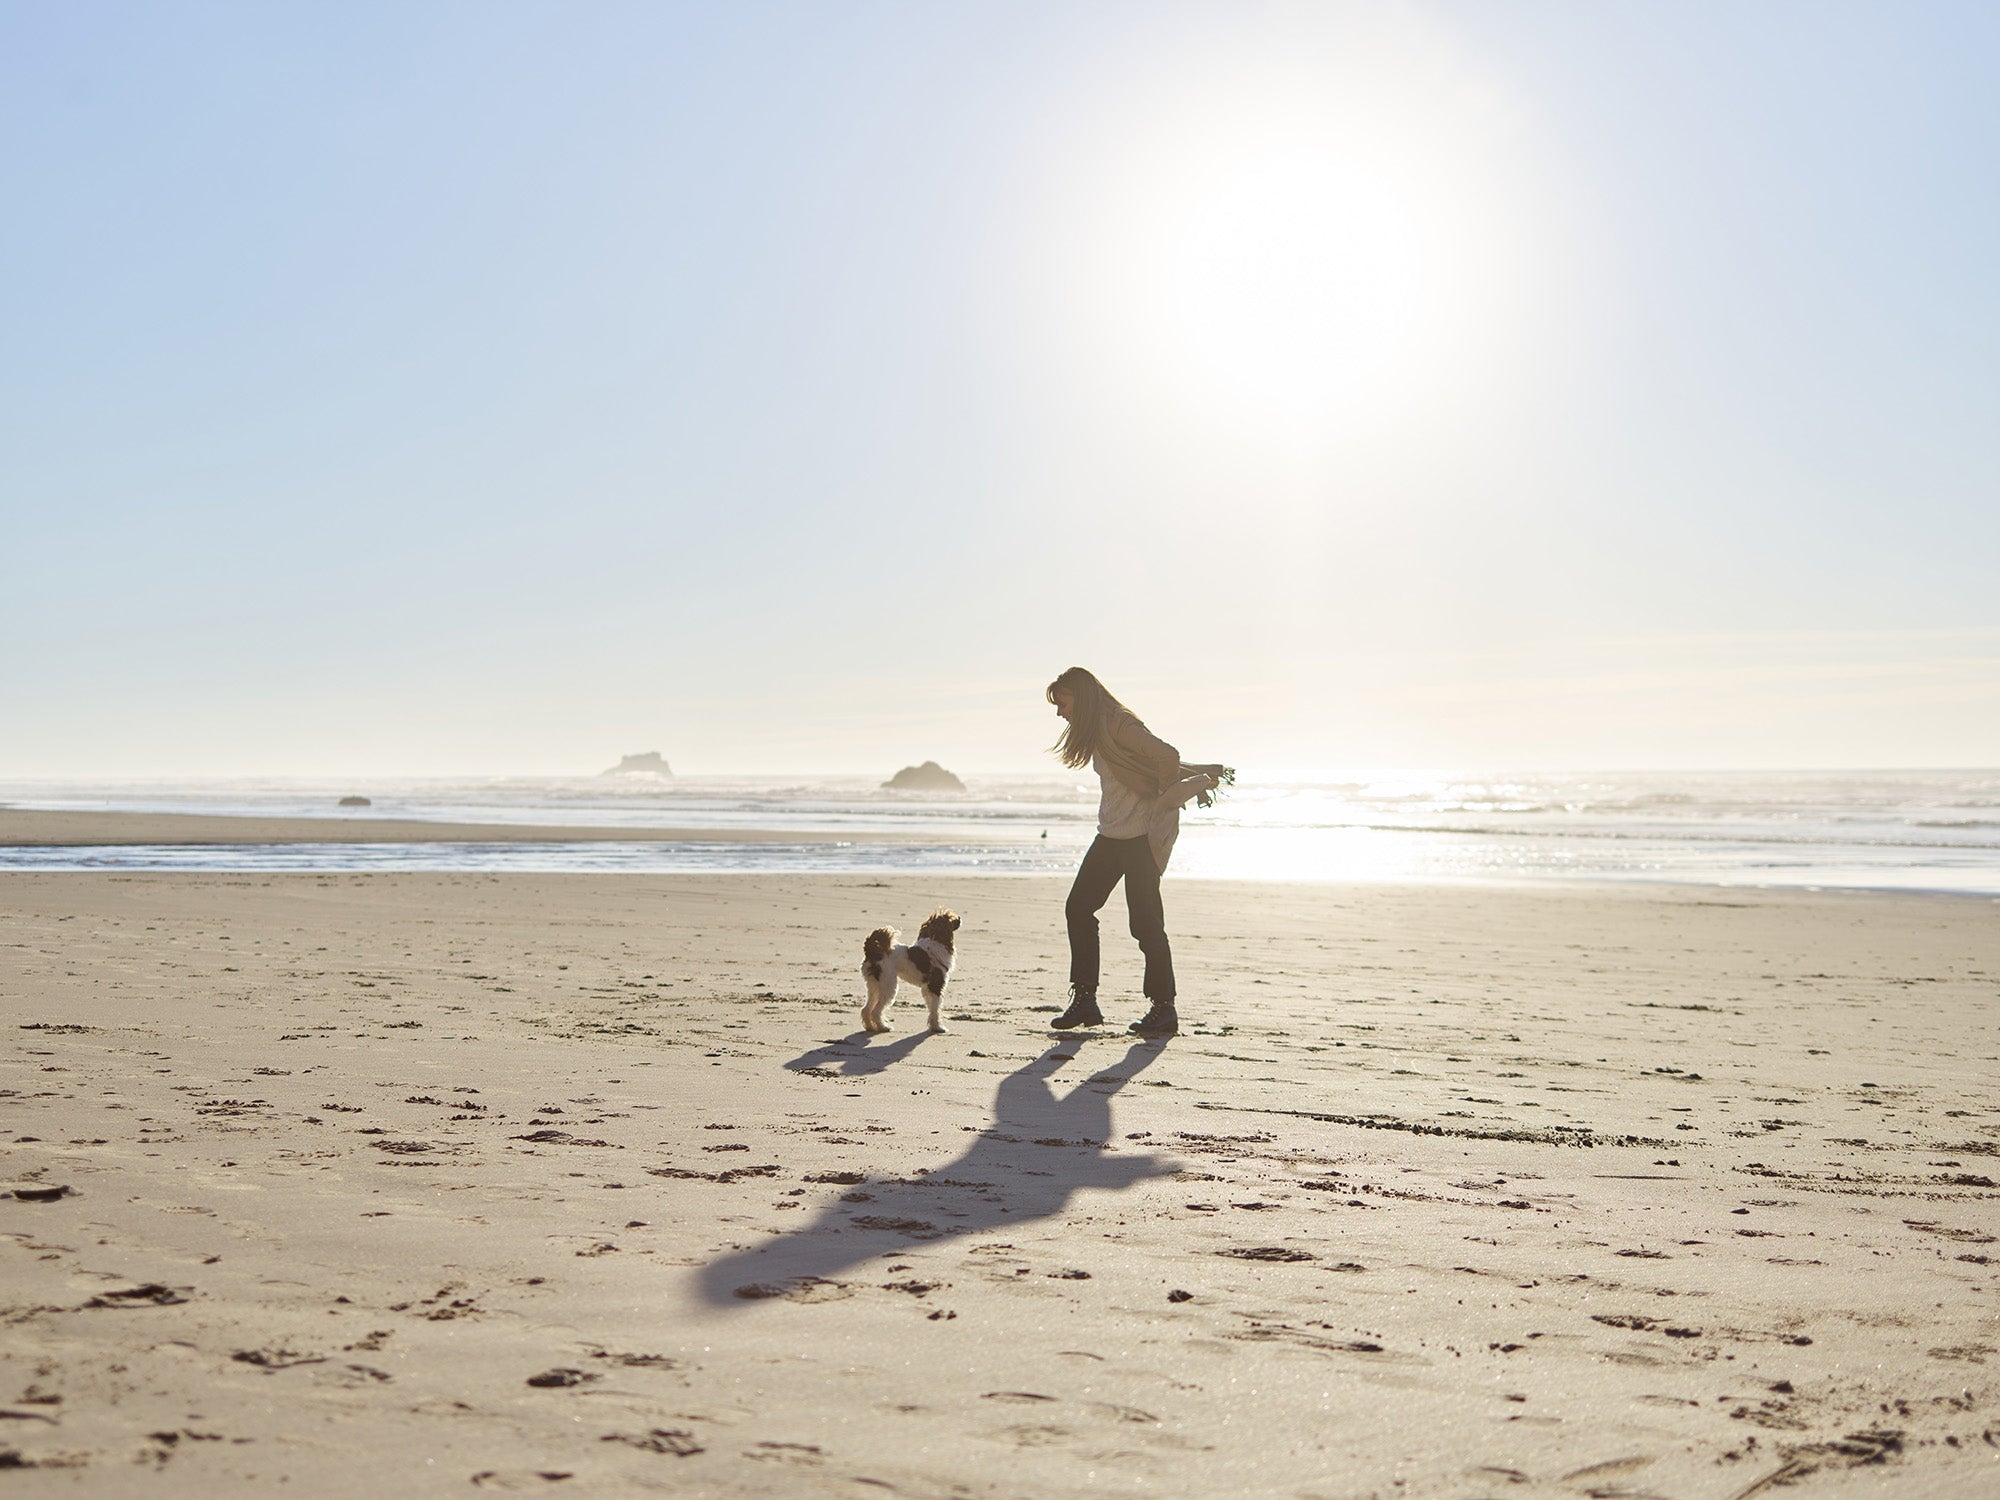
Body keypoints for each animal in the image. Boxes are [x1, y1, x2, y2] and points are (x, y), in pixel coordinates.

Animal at [856, 912, 956, 1040]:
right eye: (951, 918)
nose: (960, 918)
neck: (936, 939)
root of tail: (873, 952)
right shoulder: (936, 986)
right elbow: (935, 1009)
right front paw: (937, 1028)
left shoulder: (928, 988)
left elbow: (932, 1008)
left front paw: (933, 1026)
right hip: (889, 986)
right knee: (875, 1011)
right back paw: (883, 1027)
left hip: (875, 985)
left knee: (866, 1009)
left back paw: (870, 1027)